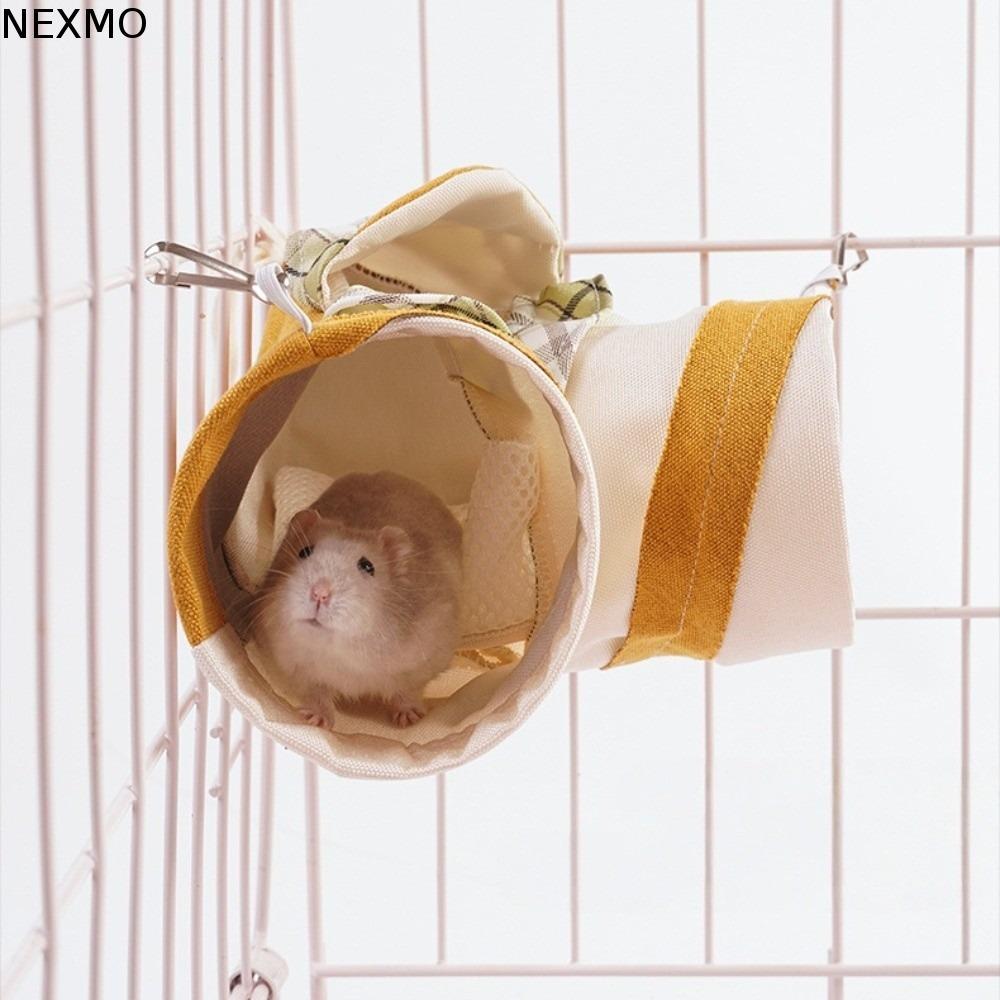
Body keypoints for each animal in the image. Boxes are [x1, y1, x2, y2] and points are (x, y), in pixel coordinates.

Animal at [251, 471, 463, 729]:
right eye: (304, 552)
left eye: (367, 566)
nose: (319, 593)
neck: (340, 651)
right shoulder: (296, 670)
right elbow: (317, 695)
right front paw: (314, 721)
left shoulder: (422, 664)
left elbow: (407, 691)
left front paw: (409, 721)